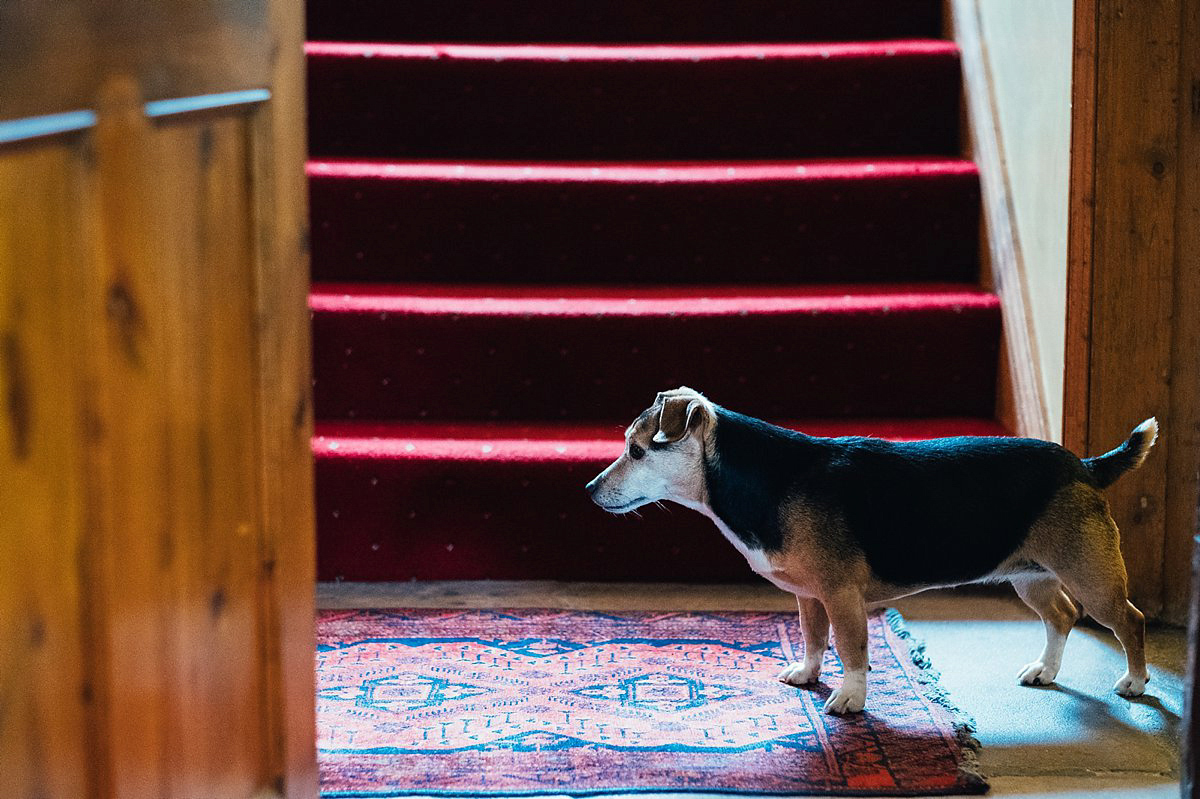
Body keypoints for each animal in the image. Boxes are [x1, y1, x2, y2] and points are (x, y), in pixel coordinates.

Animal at [585, 383, 1156, 710]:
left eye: (638, 451)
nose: (589, 490)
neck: (757, 477)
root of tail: (1083, 466)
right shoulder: (809, 597)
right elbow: (813, 638)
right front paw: (808, 675)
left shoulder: (841, 595)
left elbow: (851, 647)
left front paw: (850, 696)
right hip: (1030, 575)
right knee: (1060, 615)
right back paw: (1046, 670)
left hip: (1091, 575)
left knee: (1129, 620)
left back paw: (1134, 682)